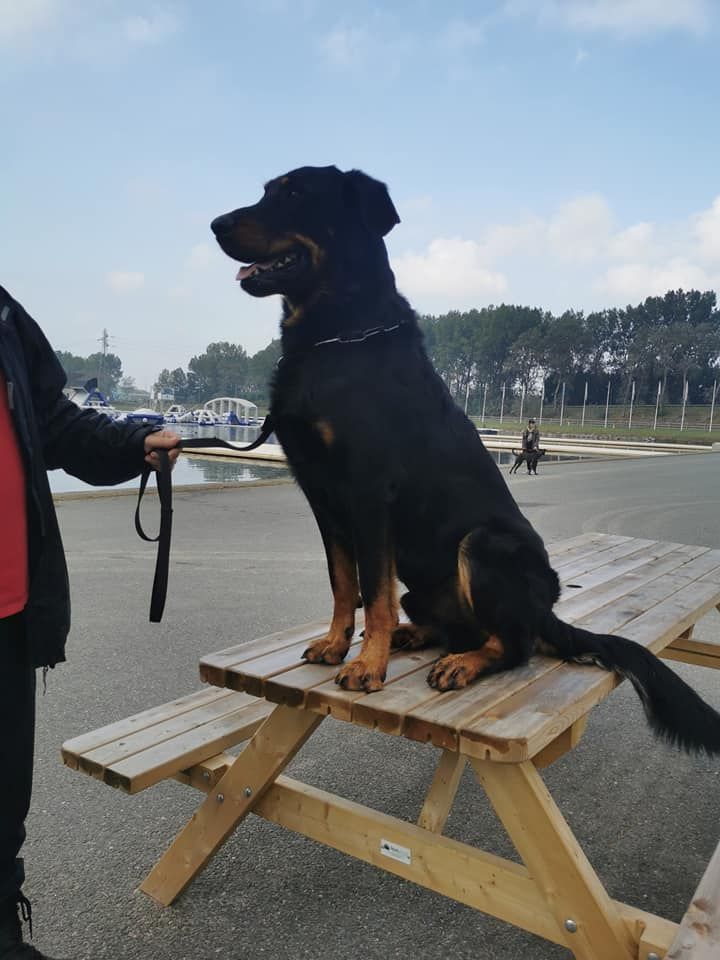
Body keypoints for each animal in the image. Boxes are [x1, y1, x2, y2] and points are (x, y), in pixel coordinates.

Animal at [211, 167, 720, 756]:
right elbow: (344, 586)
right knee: (455, 624)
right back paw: (418, 636)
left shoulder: (368, 492)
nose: (216, 224)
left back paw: (462, 663)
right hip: (428, 585)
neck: (334, 335)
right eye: (267, 190)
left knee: (514, 645)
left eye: (295, 192)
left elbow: (373, 594)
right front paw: (337, 644)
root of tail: (545, 610)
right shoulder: (322, 495)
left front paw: (367, 666)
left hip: (483, 545)